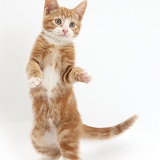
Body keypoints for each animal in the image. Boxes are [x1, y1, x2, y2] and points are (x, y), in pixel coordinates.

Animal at [26, 0, 138, 159]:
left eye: (72, 24)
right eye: (58, 21)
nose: (65, 30)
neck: (57, 45)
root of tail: (79, 124)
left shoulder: (65, 72)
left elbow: (72, 73)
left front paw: (83, 75)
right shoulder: (34, 57)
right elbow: (32, 66)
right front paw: (34, 78)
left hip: (67, 134)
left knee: (67, 152)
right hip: (37, 136)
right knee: (54, 152)